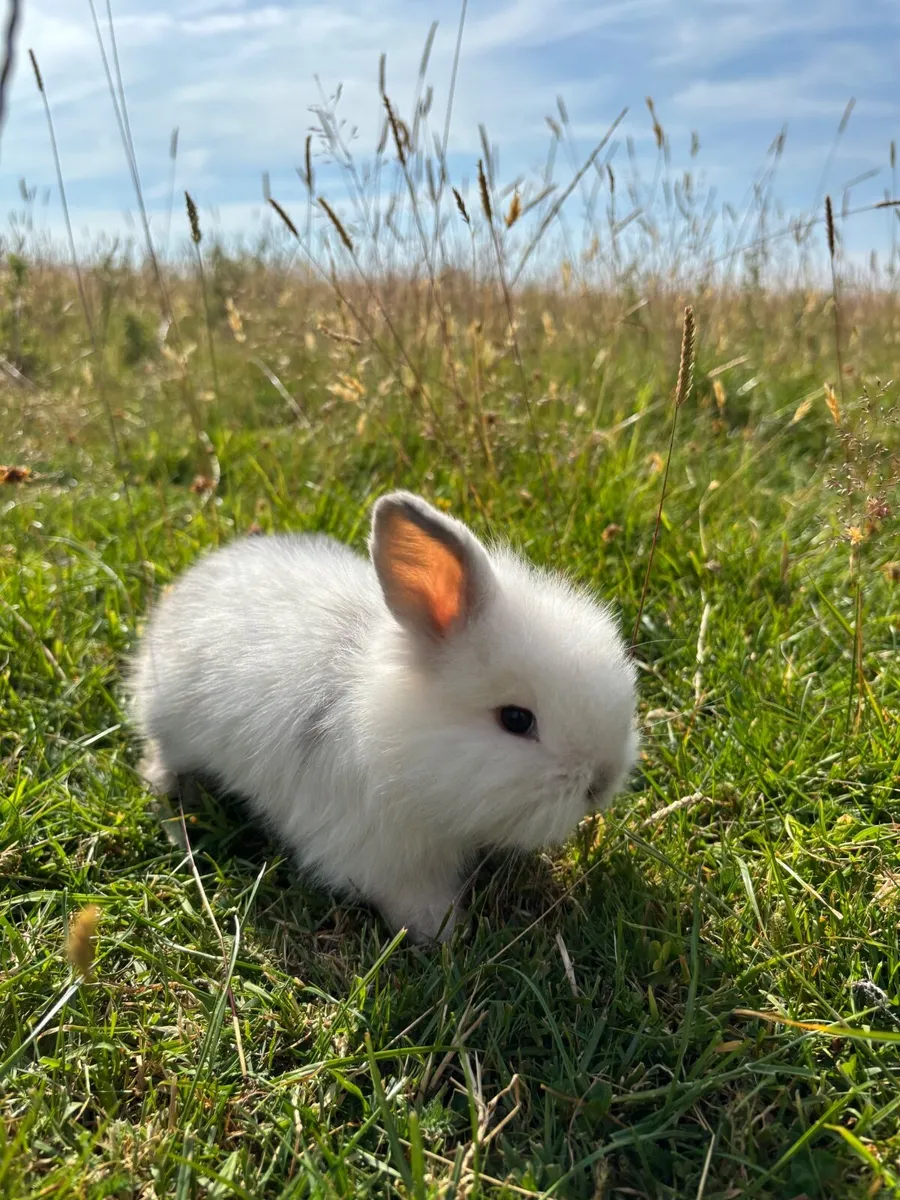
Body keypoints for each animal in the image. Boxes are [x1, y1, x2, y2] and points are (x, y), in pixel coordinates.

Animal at [129, 491, 638, 943]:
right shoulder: (383, 857)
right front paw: (446, 935)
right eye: (516, 719)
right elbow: (412, 901)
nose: (601, 783)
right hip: (173, 726)